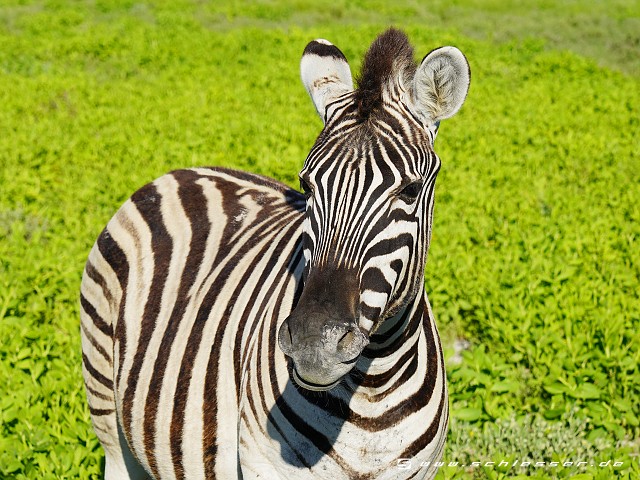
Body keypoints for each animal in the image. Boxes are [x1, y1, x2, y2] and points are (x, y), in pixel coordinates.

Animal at [80, 28, 470, 480]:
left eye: (409, 190)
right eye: (307, 185)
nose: (314, 344)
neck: (374, 391)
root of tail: (182, 171)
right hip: (105, 401)